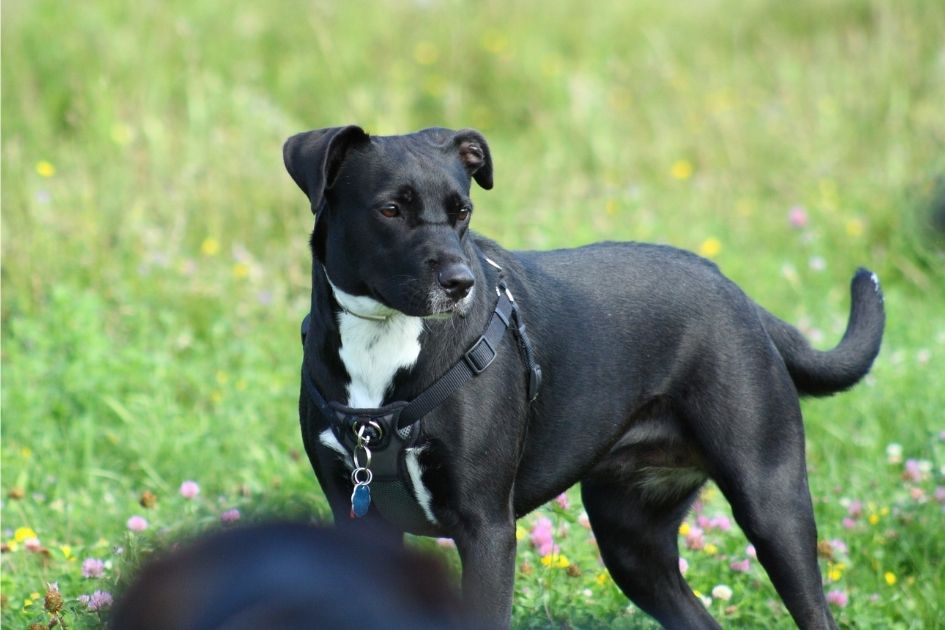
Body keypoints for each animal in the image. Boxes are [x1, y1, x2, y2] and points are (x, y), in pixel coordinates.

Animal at [282, 126, 884, 628]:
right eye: (390, 209)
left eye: (463, 211)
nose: (460, 283)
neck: (385, 339)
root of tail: (737, 293)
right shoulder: (358, 523)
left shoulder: (486, 529)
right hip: (632, 542)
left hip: (772, 504)